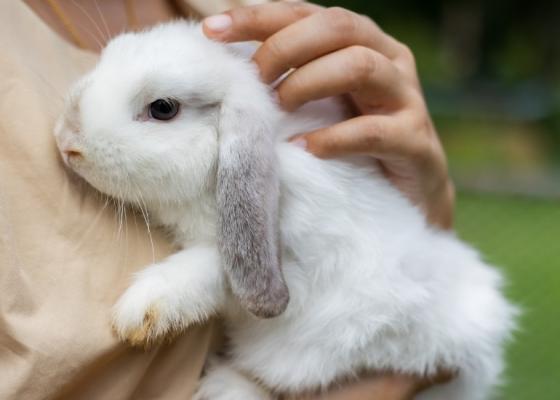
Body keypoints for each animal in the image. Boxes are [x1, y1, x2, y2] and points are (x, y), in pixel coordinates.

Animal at [53, 21, 516, 400]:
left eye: (163, 108)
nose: (66, 140)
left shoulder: (294, 258)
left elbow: (215, 266)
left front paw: (140, 309)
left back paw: (225, 388)